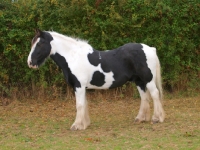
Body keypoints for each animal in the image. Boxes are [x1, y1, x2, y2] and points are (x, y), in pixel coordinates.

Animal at [28, 29, 166, 130]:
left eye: (39, 44)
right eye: (33, 43)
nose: (30, 62)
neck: (73, 57)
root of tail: (150, 49)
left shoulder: (79, 86)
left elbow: (79, 105)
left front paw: (76, 125)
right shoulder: (81, 87)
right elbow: (84, 104)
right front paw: (84, 124)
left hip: (148, 79)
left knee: (155, 94)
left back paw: (157, 118)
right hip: (139, 81)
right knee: (144, 97)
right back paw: (140, 119)